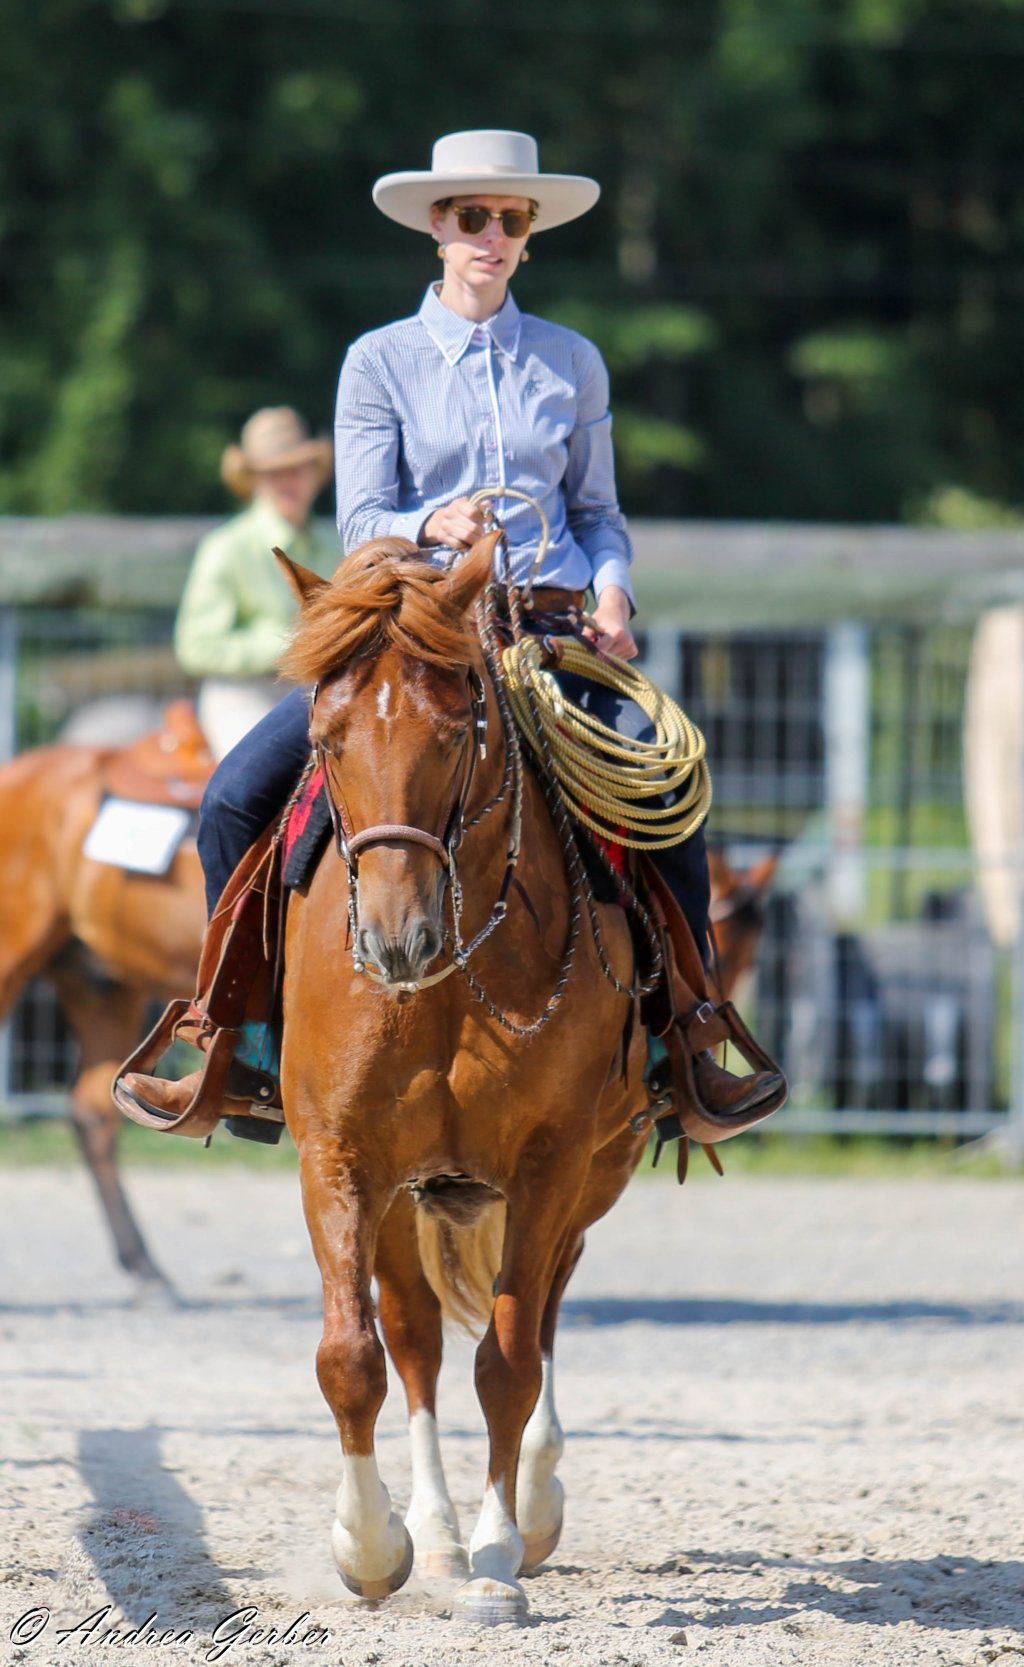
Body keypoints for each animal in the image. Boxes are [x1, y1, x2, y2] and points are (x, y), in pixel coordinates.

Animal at [271, 529, 773, 1622]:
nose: (397, 938)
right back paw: (431, 1532)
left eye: (457, 731)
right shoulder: (339, 1153)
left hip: (592, 1172)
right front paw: (372, 1546)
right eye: (326, 738)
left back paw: (528, 1508)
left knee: (538, 1317)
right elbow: (353, 1354)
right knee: (414, 1335)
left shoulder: (552, 1161)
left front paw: (499, 1553)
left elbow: (507, 1357)